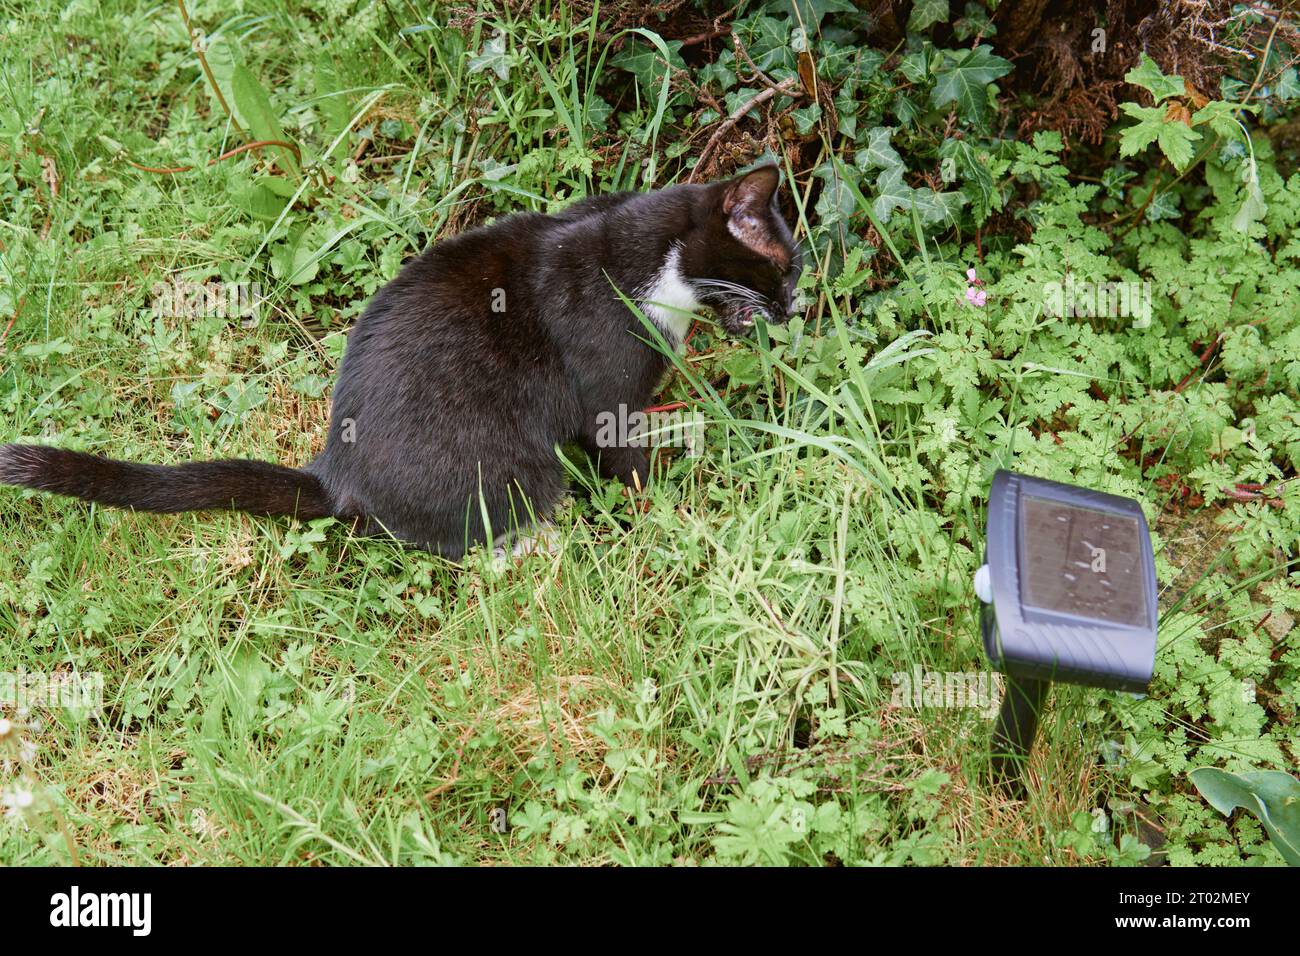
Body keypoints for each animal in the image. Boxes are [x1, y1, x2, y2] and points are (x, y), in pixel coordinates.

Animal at [0, 163, 800, 554]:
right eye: (784, 266)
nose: (796, 308)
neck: (654, 267)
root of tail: (338, 475)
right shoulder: (607, 386)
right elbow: (621, 456)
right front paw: (665, 510)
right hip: (508, 465)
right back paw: (538, 545)